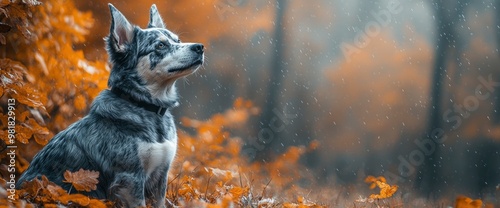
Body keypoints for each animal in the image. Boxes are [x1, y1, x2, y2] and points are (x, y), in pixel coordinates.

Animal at [16, 4, 203, 207]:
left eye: (178, 40)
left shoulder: (160, 176)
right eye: (160, 45)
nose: (199, 47)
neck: (143, 106)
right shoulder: (130, 179)